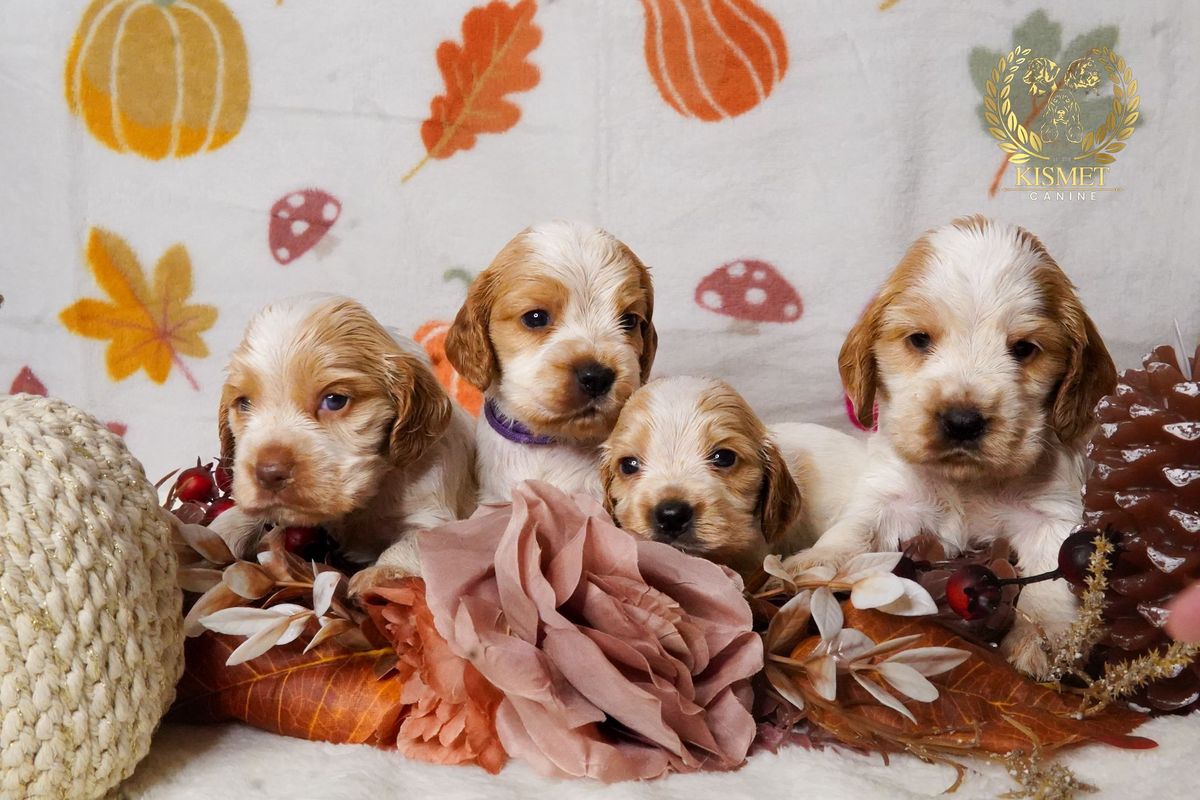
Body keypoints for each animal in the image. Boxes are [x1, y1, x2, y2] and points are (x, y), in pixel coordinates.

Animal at [211, 293, 477, 587]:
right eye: (244, 403)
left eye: (334, 400)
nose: (269, 473)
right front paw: (217, 533)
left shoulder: (434, 513)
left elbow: (414, 543)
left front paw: (381, 574)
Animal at [787, 214, 1113, 676]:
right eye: (919, 339)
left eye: (1024, 348)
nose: (962, 421)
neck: (967, 482)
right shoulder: (889, 493)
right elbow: (857, 526)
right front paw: (821, 561)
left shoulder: (1050, 512)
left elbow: (1053, 567)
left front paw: (1046, 635)